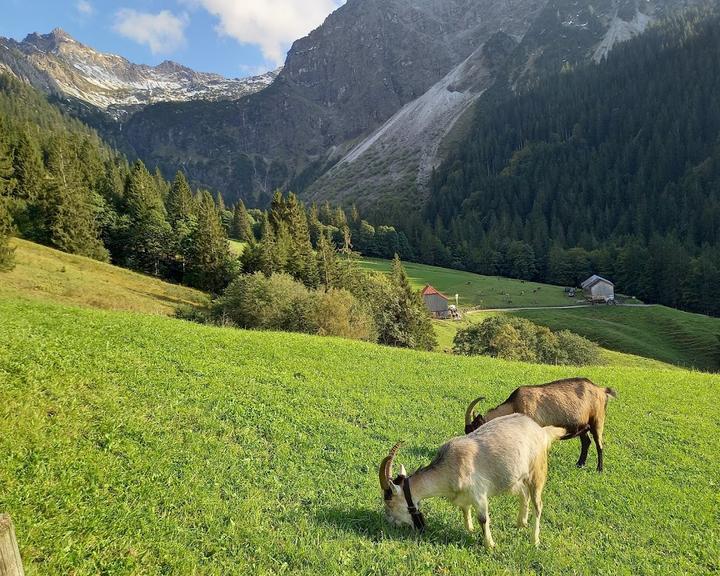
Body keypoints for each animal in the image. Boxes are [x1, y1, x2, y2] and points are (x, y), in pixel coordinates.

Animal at [376, 414, 572, 544]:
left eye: (389, 503)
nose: (390, 523)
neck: (450, 466)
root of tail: (541, 431)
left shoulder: (479, 494)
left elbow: (483, 519)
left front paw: (490, 545)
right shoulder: (464, 497)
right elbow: (465, 510)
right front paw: (469, 530)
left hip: (537, 473)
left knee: (538, 504)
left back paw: (534, 539)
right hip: (514, 478)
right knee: (524, 494)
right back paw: (521, 523)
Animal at [466, 378, 620, 472]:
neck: (514, 405)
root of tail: (601, 390)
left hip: (598, 420)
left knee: (599, 444)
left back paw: (599, 469)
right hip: (582, 426)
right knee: (586, 442)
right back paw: (580, 464)